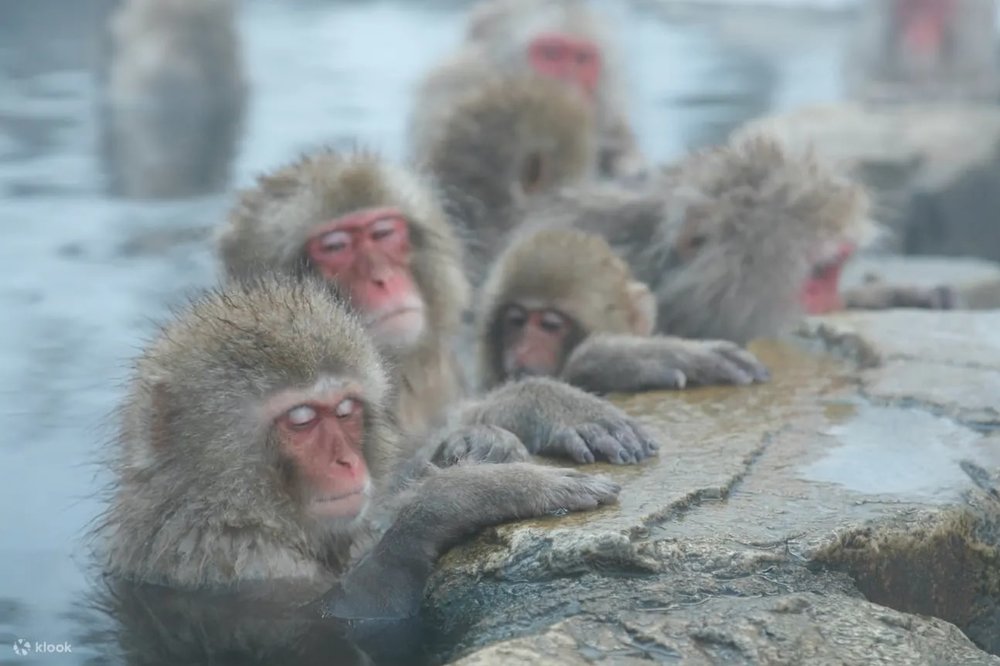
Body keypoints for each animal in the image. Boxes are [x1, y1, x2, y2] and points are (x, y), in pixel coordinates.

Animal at [94, 276, 622, 629]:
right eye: (301, 419)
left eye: (345, 409)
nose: (347, 463)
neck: (225, 506)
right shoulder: (236, 560)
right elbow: (351, 614)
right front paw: (469, 494)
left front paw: (525, 411)